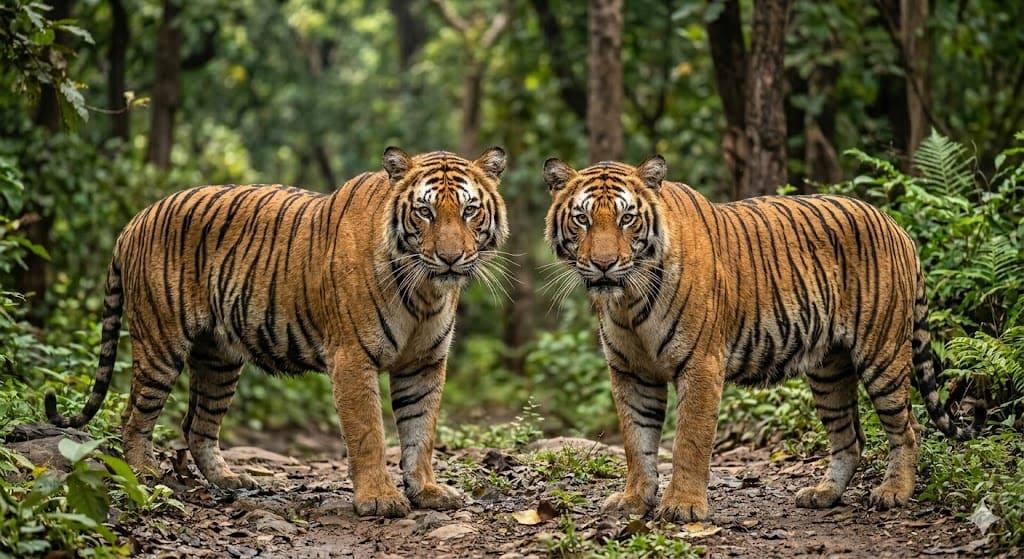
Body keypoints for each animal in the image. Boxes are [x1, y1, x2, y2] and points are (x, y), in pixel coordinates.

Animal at [46, 147, 509, 518]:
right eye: (424, 211)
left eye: (469, 210)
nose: (450, 258)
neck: (426, 290)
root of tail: (136, 218)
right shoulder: (352, 358)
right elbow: (369, 434)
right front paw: (378, 499)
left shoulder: (424, 363)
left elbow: (420, 431)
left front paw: (427, 490)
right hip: (160, 343)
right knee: (134, 416)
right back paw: (143, 473)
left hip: (218, 359)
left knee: (197, 425)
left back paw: (231, 480)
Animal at [541, 155, 974, 522]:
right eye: (582, 219)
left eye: (627, 218)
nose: (604, 264)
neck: (628, 302)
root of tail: (899, 227)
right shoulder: (630, 372)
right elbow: (637, 441)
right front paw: (634, 500)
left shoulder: (701, 365)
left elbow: (689, 441)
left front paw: (683, 506)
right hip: (829, 370)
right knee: (849, 437)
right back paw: (824, 494)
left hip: (881, 355)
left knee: (909, 428)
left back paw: (894, 492)